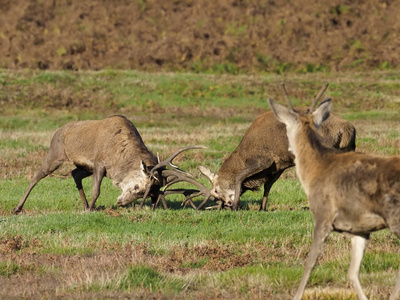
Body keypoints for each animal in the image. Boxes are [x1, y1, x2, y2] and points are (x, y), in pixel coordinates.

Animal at [13, 115, 206, 213]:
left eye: (147, 193)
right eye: (137, 187)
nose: (121, 202)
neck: (119, 157)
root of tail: (58, 131)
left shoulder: (99, 167)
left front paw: (89, 207)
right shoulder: (100, 162)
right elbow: (96, 190)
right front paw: (91, 209)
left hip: (85, 166)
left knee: (75, 174)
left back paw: (84, 204)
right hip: (55, 154)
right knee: (36, 176)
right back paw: (17, 207)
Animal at [200, 84, 356, 211]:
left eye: (216, 190)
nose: (226, 204)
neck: (243, 155)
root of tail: (347, 129)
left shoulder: (264, 160)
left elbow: (240, 176)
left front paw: (237, 206)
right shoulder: (278, 166)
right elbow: (268, 186)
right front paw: (262, 208)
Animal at [268, 83, 400, 300]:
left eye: (286, 128)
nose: (288, 149)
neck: (316, 169)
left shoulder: (323, 216)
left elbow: (309, 264)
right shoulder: (360, 228)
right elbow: (353, 272)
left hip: (395, 216)